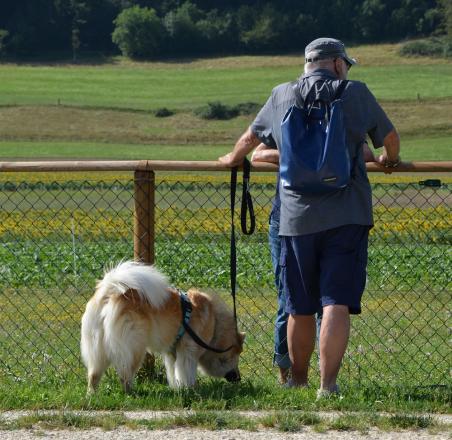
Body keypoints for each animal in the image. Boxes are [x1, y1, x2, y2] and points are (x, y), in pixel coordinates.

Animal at [81, 262, 244, 392]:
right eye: (236, 356)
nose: (238, 378)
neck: (215, 324)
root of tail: (110, 292)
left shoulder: (172, 352)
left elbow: (174, 372)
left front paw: (177, 388)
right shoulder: (189, 351)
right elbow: (187, 372)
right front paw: (190, 388)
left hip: (98, 349)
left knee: (94, 375)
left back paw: (91, 395)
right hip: (134, 348)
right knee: (125, 375)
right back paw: (131, 393)